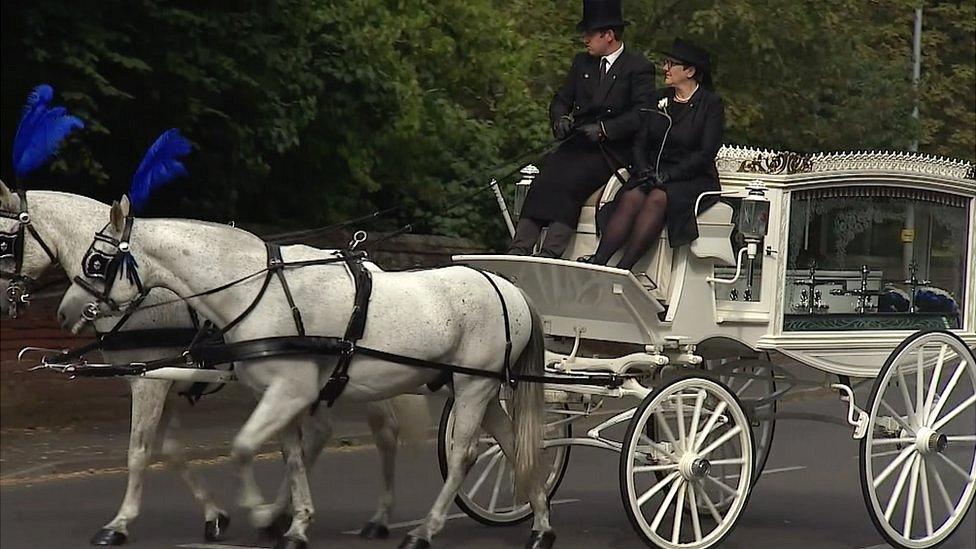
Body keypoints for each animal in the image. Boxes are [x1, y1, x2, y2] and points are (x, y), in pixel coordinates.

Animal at [0, 183, 416, 544]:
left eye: (5, 241)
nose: (63, 313)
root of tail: (369, 268)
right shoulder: (164, 379)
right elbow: (170, 449)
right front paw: (216, 515)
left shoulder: (150, 382)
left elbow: (139, 451)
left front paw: (119, 523)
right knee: (316, 436)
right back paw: (283, 514)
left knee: (383, 433)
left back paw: (376, 517)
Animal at [55, 197, 556, 548]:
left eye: (97, 261)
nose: (65, 312)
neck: (257, 289)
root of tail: (508, 286)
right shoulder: (285, 397)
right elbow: (292, 457)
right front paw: (293, 525)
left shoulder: (287, 391)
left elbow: (239, 448)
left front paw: (260, 513)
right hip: (476, 388)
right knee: (513, 443)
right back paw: (541, 524)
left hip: (473, 386)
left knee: (463, 455)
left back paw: (425, 529)